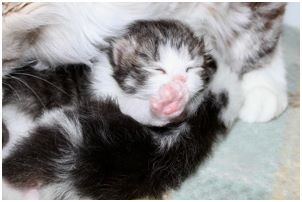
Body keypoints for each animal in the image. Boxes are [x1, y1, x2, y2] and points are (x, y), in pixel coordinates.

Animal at [1, 20, 241, 199]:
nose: (179, 81)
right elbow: (135, 109)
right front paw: (166, 105)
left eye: (190, 68)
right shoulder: (100, 92)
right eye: (158, 69)